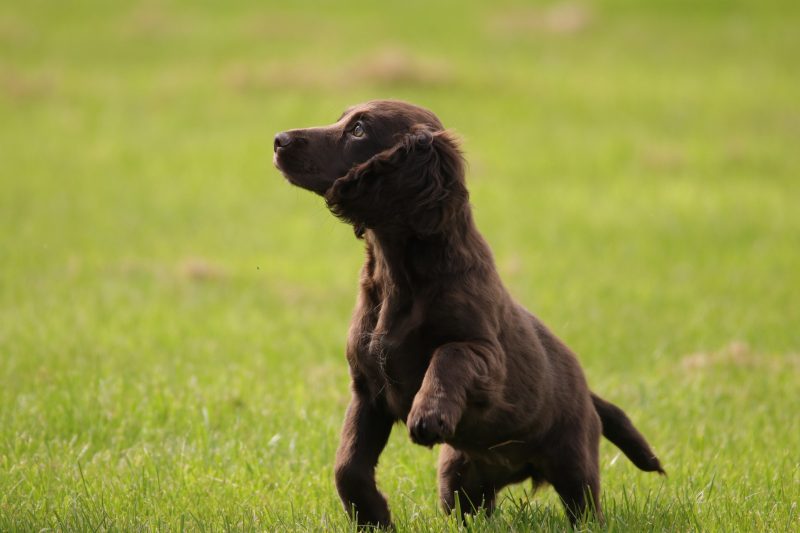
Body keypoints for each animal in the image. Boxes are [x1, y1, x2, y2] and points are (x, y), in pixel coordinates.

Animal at [276, 101, 664, 528]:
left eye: (359, 130)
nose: (279, 140)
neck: (398, 274)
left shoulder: (485, 353)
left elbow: (449, 355)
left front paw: (428, 413)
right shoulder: (367, 388)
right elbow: (347, 465)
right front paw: (374, 518)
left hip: (573, 460)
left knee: (584, 505)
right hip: (458, 476)